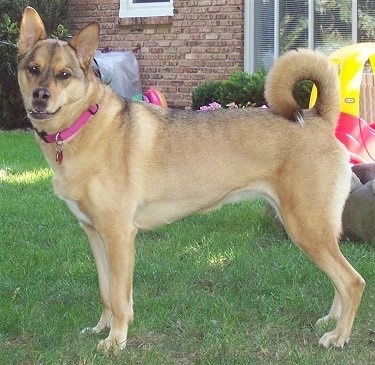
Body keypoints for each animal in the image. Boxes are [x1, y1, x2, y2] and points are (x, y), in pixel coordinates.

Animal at [18, 5, 368, 352]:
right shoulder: (94, 234)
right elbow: (106, 292)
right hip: (315, 230)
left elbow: (118, 298)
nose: (39, 96)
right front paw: (100, 329)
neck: (81, 126)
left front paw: (115, 341)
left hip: (307, 228)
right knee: (340, 280)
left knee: (353, 281)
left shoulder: (119, 236)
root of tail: (319, 119)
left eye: (64, 74)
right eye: (33, 69)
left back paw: (339, 336)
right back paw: (331, 320)